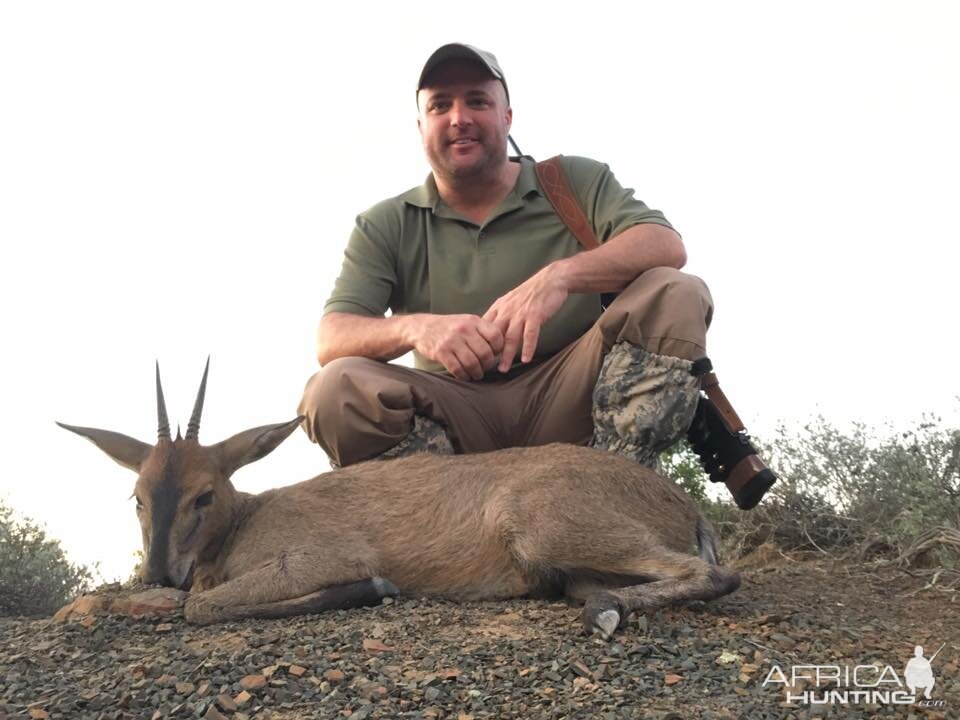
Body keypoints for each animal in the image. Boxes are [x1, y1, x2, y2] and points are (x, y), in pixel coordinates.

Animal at [56, 360, 740, 636]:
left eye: (203, 495)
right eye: (137, 496)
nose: (158, 574)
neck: (248, 518)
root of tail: (684, 504)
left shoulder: (321, 558)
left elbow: (201, 608)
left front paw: (375, 590)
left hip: (550, 530)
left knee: (713, 575)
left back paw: (604, 613)